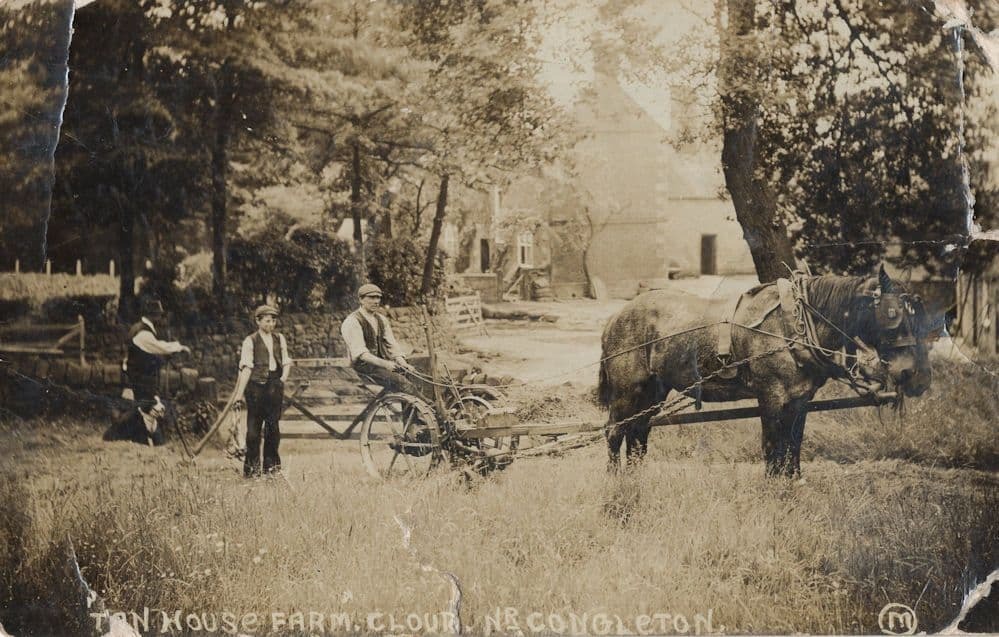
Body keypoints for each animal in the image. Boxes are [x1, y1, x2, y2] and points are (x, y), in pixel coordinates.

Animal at [597, 265, 936, 477]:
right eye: (893, 315)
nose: (918, 377)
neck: (796, 324)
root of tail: (615, 316)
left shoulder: (800, 401)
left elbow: (792, 450)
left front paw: (792, 489)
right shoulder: (771, 397)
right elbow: (773, 450)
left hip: (653, 392)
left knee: (638, 433)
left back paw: (635, 480)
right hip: (628, 391)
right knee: (615, 432)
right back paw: (615, 484)